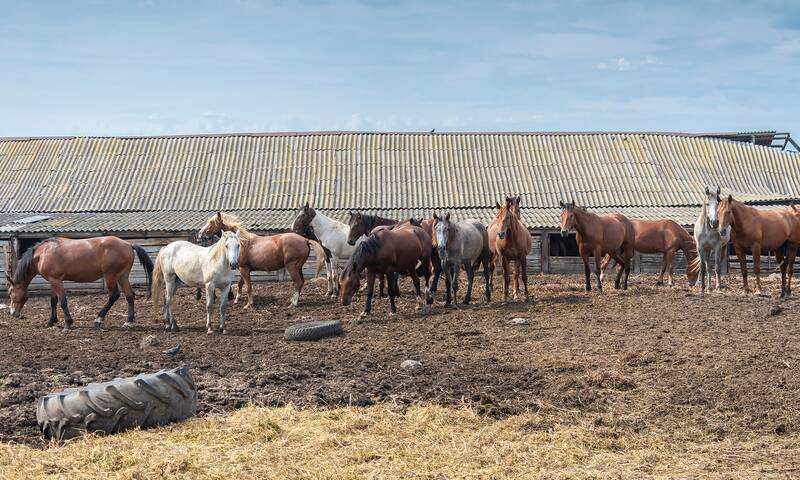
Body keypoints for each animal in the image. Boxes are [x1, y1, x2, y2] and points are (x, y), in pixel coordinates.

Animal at [5, 236, 154, 331]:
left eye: (11, 293)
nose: (12, 313)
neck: (43, 254)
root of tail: (128, 244)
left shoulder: (56, 281)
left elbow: (63, 301)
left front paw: (68, 323)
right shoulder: (53, 281)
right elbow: (53, 301)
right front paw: (51, 321)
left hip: (111, 277)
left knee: (114, 295)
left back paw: (99, 319)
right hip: (122, 276)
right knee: (130, 295)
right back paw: (129, 321)